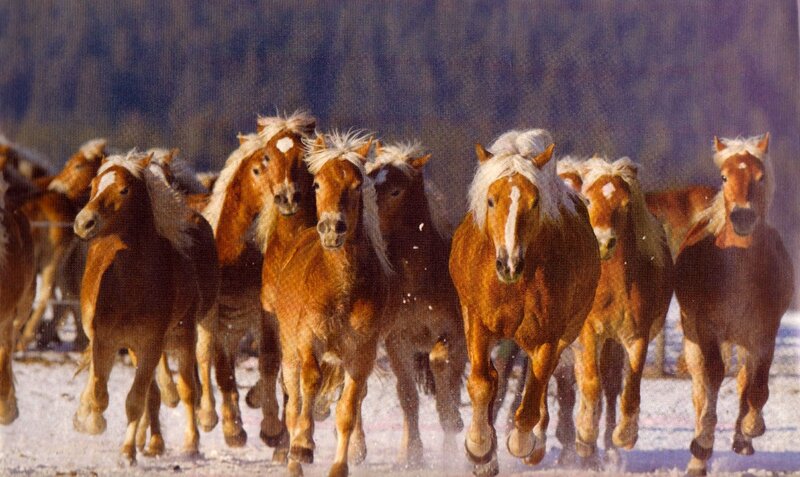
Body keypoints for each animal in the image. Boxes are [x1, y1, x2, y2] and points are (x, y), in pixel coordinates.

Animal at [71, 151, 211, 464]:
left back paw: (191, 443)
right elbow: (100, 392)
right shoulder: (105, 340)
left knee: (187, 389)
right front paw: (91, 421)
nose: (83, 222)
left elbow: (136, 399)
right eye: (93, 185)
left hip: (183, 336)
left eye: (124, 190)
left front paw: (127, 452)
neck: (131, 285)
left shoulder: (150, 344)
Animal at [274, 131, 392, 477]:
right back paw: (295, 459)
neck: (341, 290)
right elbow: (310, 386)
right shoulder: (308, 339)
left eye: (357, 185)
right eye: (316, 184)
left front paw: (340, 465)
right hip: (289, 352)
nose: (331, 228)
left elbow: (348, 410)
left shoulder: (361, 353)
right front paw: (303, 446)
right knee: (294, 403)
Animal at [365, 141, 466, 467]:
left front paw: (450, 450)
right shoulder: (398, 341)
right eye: (369, 179)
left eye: (396, 191)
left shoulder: (453, 336)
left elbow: (443, 378)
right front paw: (412, 455)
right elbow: (408, 397)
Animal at [449, 129, 600, 476]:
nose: (509, 264)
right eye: (492, 200)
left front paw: (522, 442)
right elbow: (481, 383)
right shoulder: (477, 322)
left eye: (534, 202)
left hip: (561, 335)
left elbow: (532, 396)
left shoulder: (548, 336)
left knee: (540, 382)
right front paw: (480, 449)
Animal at [675, 134, 794, 477]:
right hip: (693, 336)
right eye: (724, 177)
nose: (742, 216)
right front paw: (702, 443)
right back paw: (697, 460)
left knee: (744, 380)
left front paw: (751, 428)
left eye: (760, 176)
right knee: (700, 388)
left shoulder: (765, 334)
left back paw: (742, 437)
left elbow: (757, 386)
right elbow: (712, 377)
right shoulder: (705, 328)